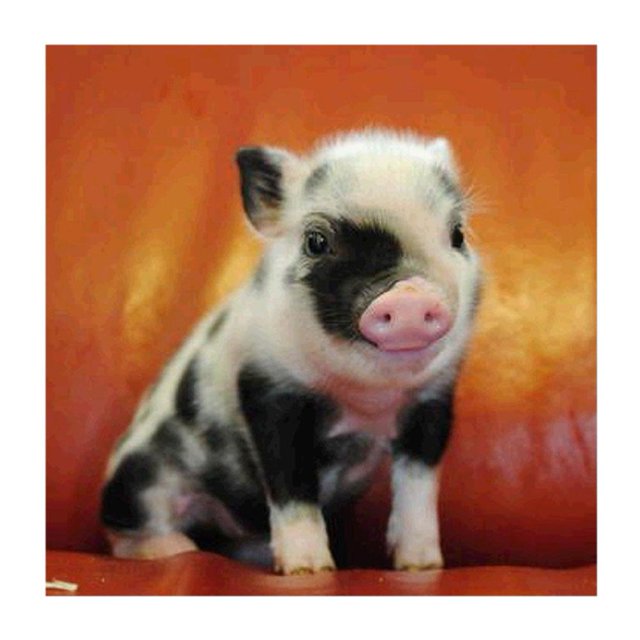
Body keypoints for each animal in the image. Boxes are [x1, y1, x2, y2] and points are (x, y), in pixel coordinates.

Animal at [101, 128, 482, 574]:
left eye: (457, 235)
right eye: (316, 241)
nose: (409, 296)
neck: (365, 398)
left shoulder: (432, 403)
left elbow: (418, 487)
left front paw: (422, 566)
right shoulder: (267, 389)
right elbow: (291, 484)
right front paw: (308, 569)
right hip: (138, 479)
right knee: (127, 528)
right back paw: (175, 550)